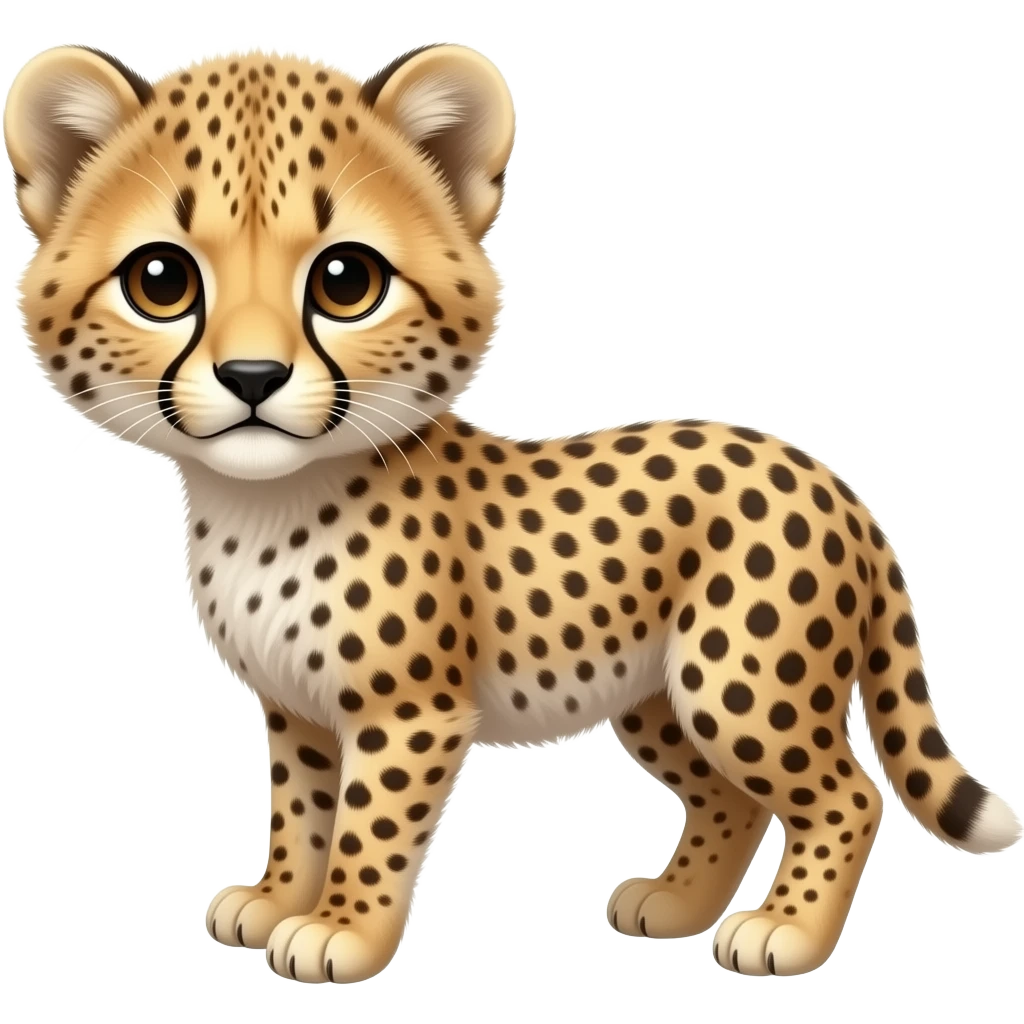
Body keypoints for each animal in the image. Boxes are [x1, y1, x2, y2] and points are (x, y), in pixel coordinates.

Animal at [5, 41, 1020, 986]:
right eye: (162, 281)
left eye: (345, 282)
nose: (252, 378)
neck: (260, 499)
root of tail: (824, 475)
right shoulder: (297, 712)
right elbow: (300, 813)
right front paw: (277, 898)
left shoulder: (406, 713)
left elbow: (367, 828)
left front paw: (340, 931)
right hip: (658, 695)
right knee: (731, 799)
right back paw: (675, 903)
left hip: (740, 682)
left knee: (846, 796)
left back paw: (787, 932)